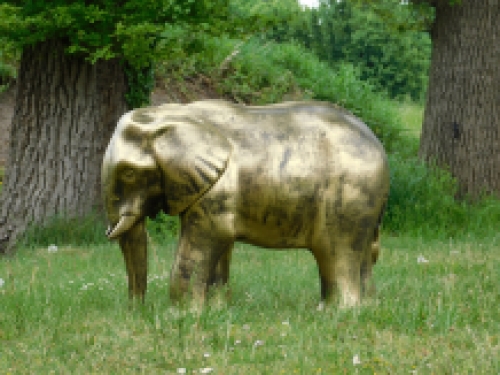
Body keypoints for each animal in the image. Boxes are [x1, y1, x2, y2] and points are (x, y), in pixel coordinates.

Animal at [102, 100, 390, 308]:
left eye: (129, 173)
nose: (137, 310)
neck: (172, 113)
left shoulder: (218, 191)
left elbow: (204, 240)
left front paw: (182, 314)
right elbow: (222, 244)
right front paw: (216, 310)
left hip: (348, 198)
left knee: (337, 251)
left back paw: (335, 312)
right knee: (362, 253)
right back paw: (368, 306)